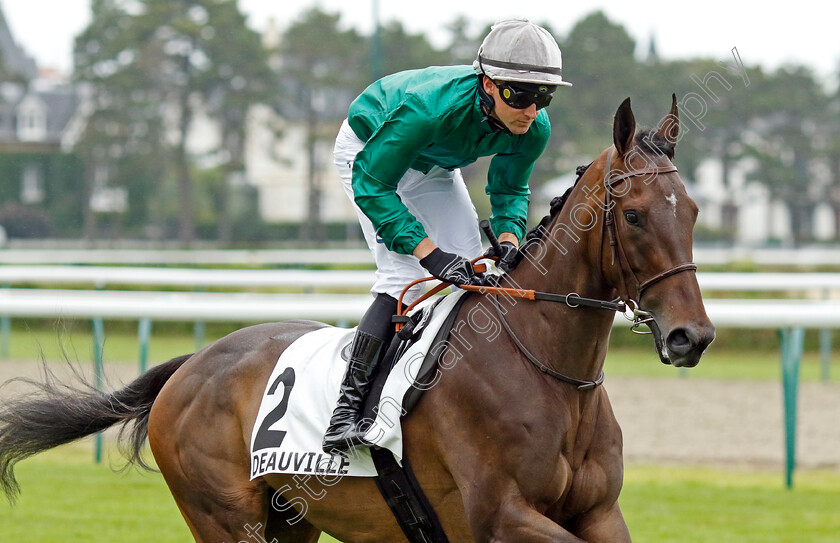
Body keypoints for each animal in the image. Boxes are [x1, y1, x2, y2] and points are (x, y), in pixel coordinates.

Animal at [0, 95, 716, 540]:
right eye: (634, 215)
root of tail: (190, 366)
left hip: (292, 522)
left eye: (693, 211)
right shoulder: (501, 517)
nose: (692, 336)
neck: (547, 371)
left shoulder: (599, 514)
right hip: (226, 519)